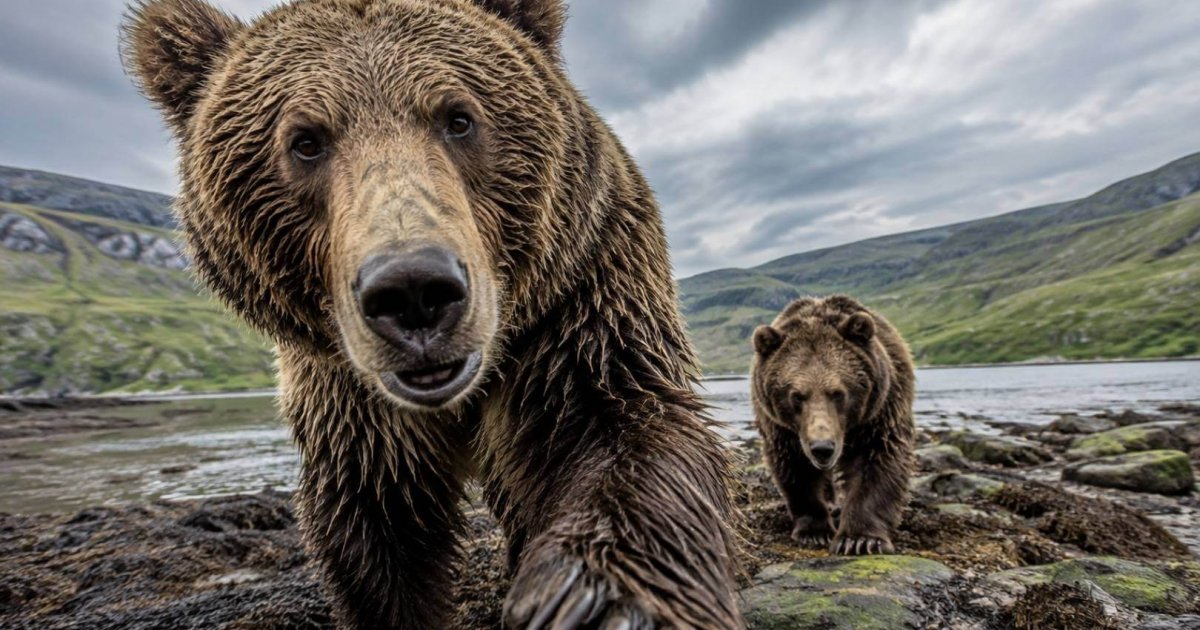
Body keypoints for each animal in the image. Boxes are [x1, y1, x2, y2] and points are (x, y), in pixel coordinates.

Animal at [122, 1, 740, 628]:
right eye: (304, 141)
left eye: (459, 118)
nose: (414, 290)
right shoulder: (348, 397)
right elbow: (378, 532)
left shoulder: (582, 302)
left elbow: (623, 428)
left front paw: (596, 599)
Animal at [750, 295, 915, 555]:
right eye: (797, 396)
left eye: (838, 393)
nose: (822, 448)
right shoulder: (782, 429)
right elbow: (795, 468)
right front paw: (814, 531)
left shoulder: (880, 413)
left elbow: (879, 461)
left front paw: (860, 540)